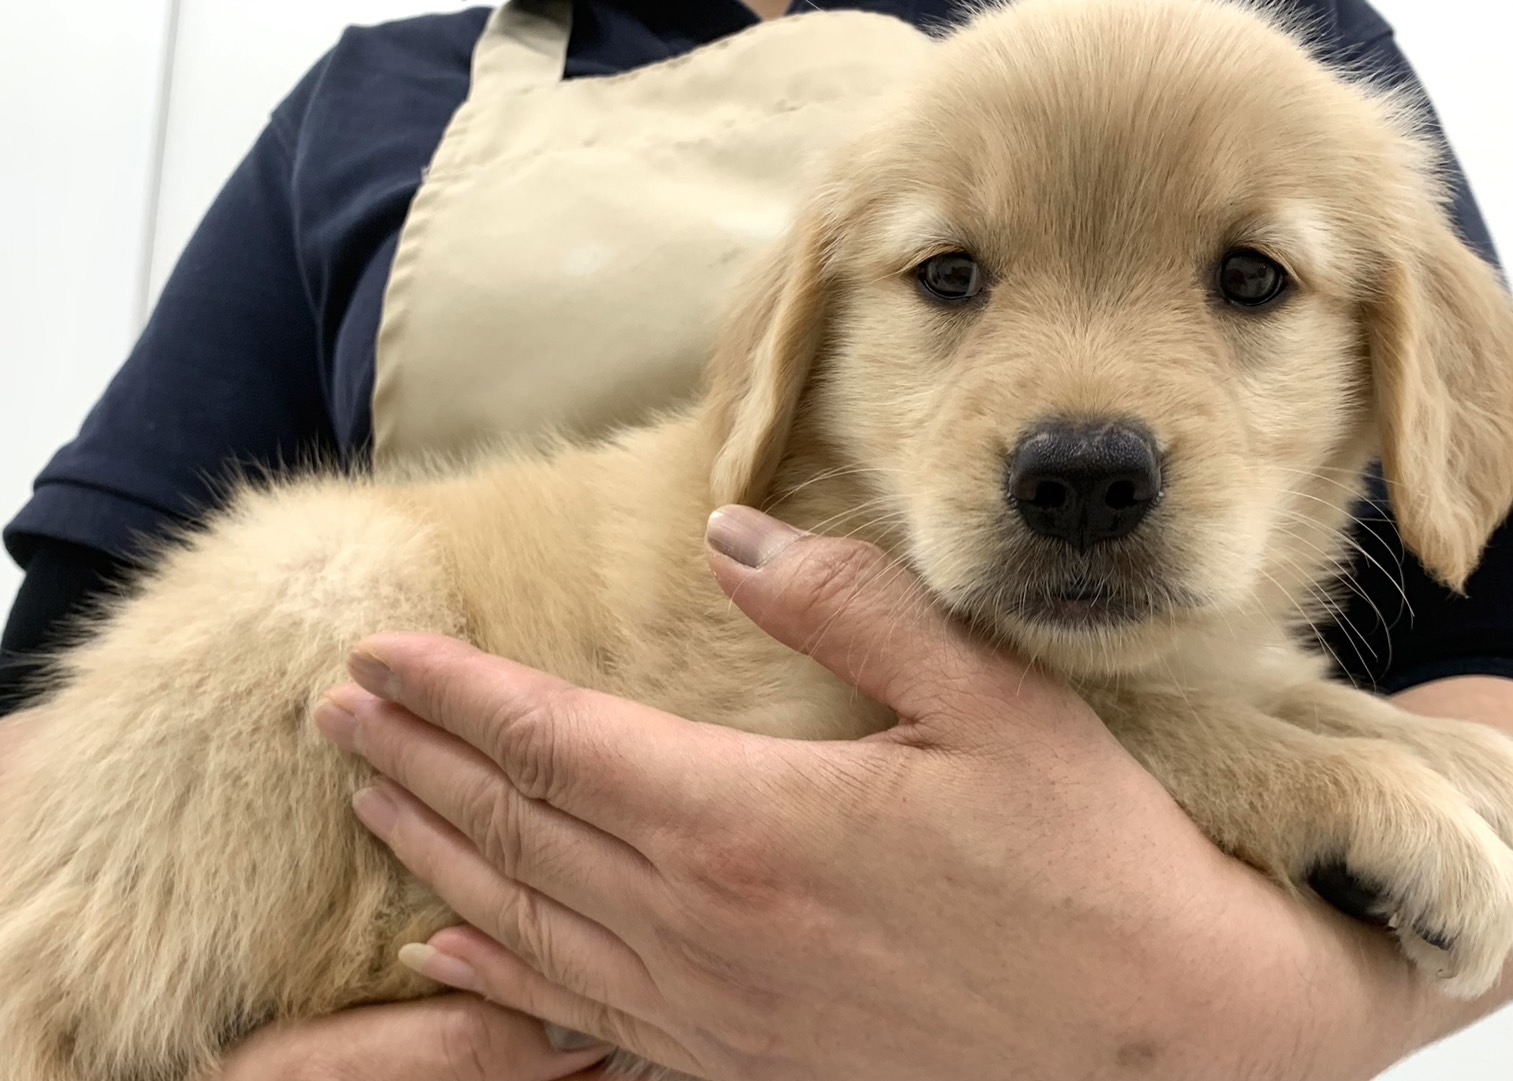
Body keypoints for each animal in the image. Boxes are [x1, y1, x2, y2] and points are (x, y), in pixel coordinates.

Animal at [2, 2, 1513, 1077]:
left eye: (1251, 277)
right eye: (949, 275)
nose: (1081, 478)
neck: (849, 507)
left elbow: (1280, 688)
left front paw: (1449, 757)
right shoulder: (781, 725)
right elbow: (1138, 720)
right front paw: (1379, 806)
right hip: (323, 581)